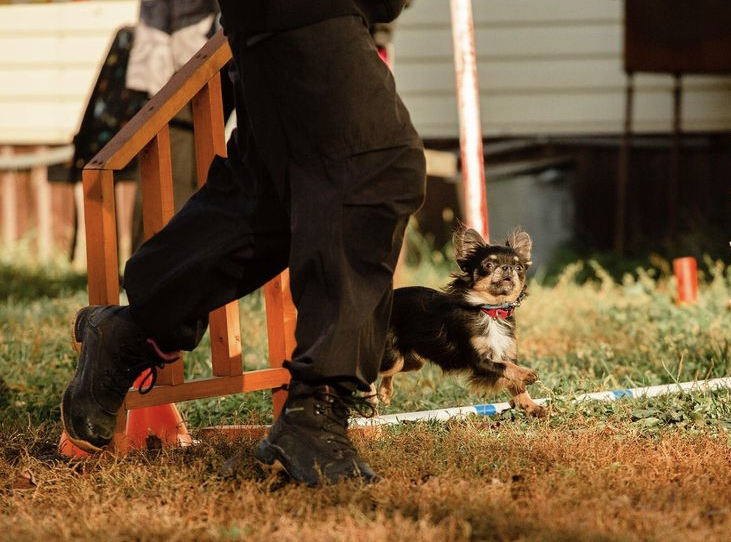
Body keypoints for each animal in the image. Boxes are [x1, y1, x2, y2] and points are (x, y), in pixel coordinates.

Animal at [373, 226, 547, 417]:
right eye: (488, 265)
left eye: (519, 267)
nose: (508, 268)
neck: (490, 310)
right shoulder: (480, 361)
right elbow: (507, 368)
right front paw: (527, 374)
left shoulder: (506, 352)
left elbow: (517, 384)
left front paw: (531, 406)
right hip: (393, 357)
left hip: (413, 361)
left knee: (389, 372)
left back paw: (385, 393)